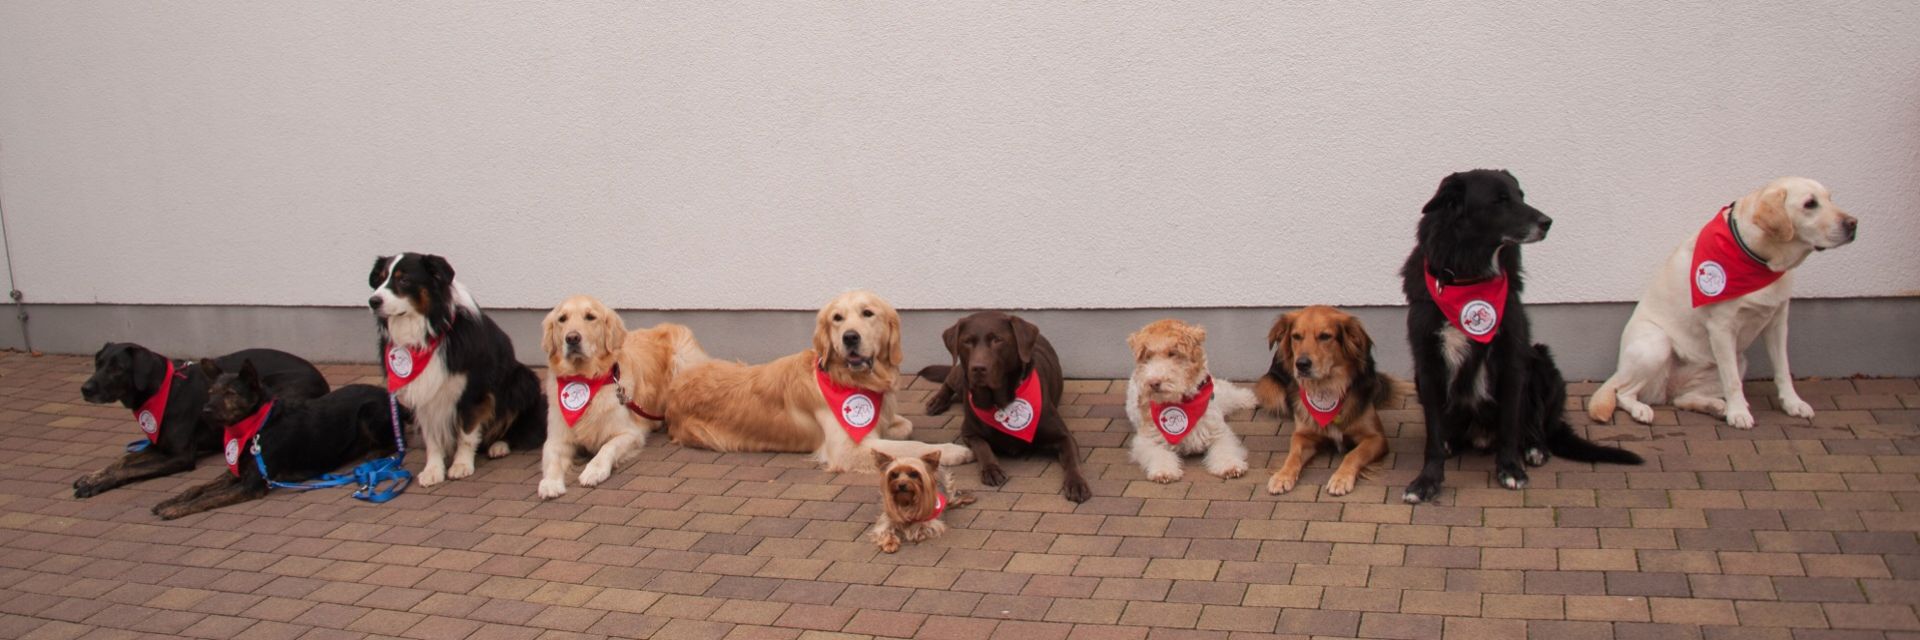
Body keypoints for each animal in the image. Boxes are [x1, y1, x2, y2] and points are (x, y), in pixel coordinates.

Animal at [74, 344, 328, 499]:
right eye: (98, 363)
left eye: (117, 368)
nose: (85, 389)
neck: (163, 388)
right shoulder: (160, 445)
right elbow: (123, 460)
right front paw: (92, 477)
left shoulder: (180, 456)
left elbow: (130, 470)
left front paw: (97, 484)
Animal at [154, 359, 412, 518]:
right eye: (211, 392)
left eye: (230, 393)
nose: (205, 410)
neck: (258, 426)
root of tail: (395, 402)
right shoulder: (237, 471)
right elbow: (199, 487)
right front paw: (171, 501)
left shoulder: (251, 485)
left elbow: (209, 496)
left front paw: (176, 509)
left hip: (369, 413)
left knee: (395, 443)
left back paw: (373, 453)